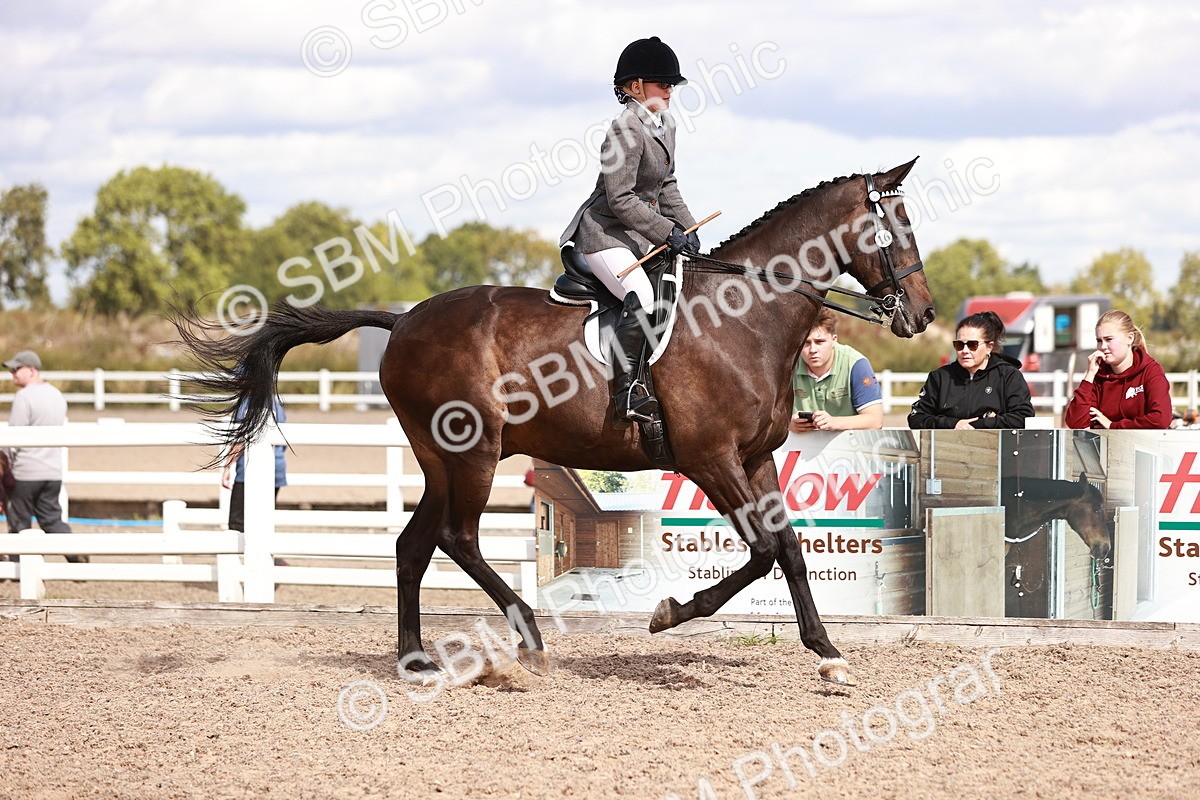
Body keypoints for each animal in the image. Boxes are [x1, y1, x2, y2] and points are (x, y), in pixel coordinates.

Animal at [176, 158, 934, 687]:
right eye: (894, 230)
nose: (923, 315)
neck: (746, 316)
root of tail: (403, 320)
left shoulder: (755, 457)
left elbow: (790, 551)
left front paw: (828, 655)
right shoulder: (709, 458)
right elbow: (762, 551)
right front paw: (669, 613)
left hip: (439, 458)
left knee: (413, 544)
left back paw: (416, 658)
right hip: (475, 452)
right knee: (456, 537)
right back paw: (530, 640)